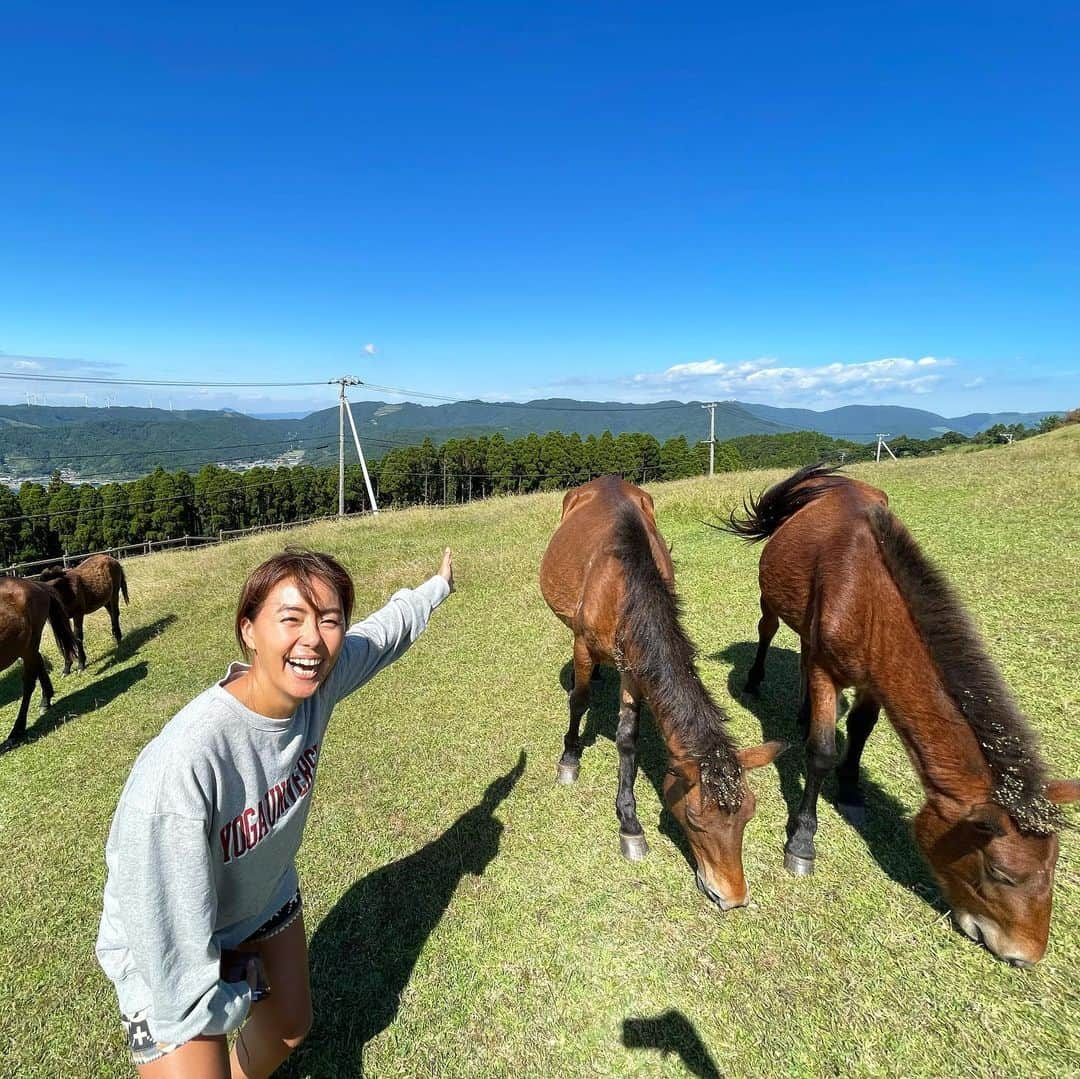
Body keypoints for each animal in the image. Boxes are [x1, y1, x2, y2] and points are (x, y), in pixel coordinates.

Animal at [0, 578, 79, 756]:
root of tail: (36, 584)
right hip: (26, 647)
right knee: (39, 663)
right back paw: (46, 699)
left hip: (30, 644)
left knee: (29, 682)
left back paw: (17, 730)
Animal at [540, 477, 786, 907]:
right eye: (695, 819)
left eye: (749, 813)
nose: (732, 897)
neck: (623, 583)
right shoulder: (584, 646)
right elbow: (579, 701)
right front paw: (570, 759)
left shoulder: (636, 667)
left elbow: (628, 738)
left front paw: (629, 822)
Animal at [725, 460, 1080, 967]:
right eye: (1001, 872)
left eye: (1052, 867)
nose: (1024, 956)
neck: (868, 594)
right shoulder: (827, 671)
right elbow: (821, 752)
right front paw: (802, 841)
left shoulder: (876, 677)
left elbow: (860, 728)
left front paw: (852, 790)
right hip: (772, 601)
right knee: (768, 629)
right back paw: (757, 681)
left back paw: (802, 712)